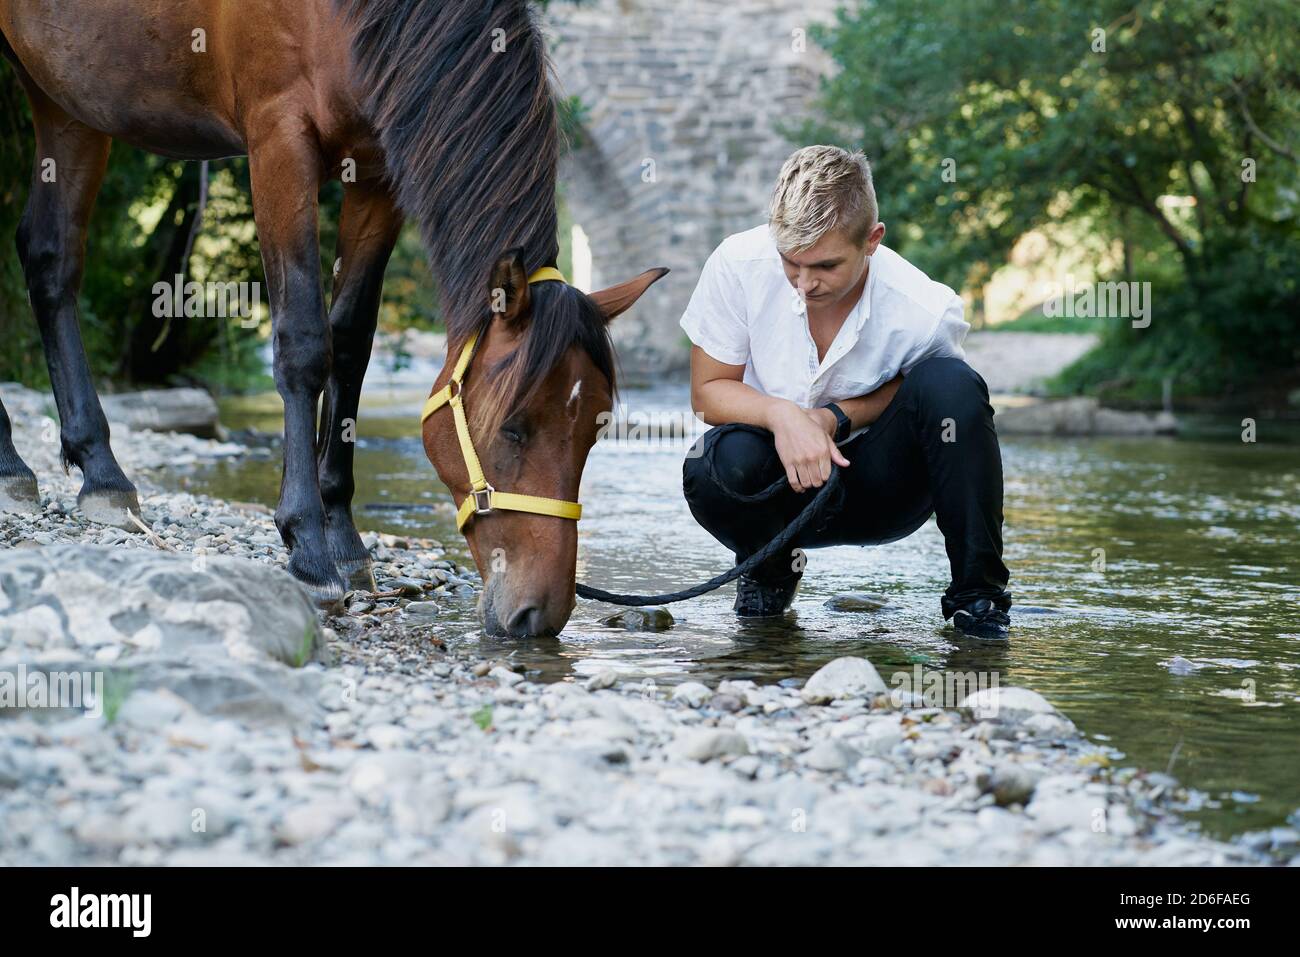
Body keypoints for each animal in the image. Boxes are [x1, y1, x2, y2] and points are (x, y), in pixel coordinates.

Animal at [0, 0, 667, 636]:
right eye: (513, 429)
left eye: (594, 431)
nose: (539, 615)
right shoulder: (278, 141)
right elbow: (303, 341)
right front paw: (310, 550)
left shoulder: (376, 170)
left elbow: (350, 341)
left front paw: (344, 538)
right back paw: (12, 463)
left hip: (65, 98)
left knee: (51, 260)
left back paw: (102, 474)